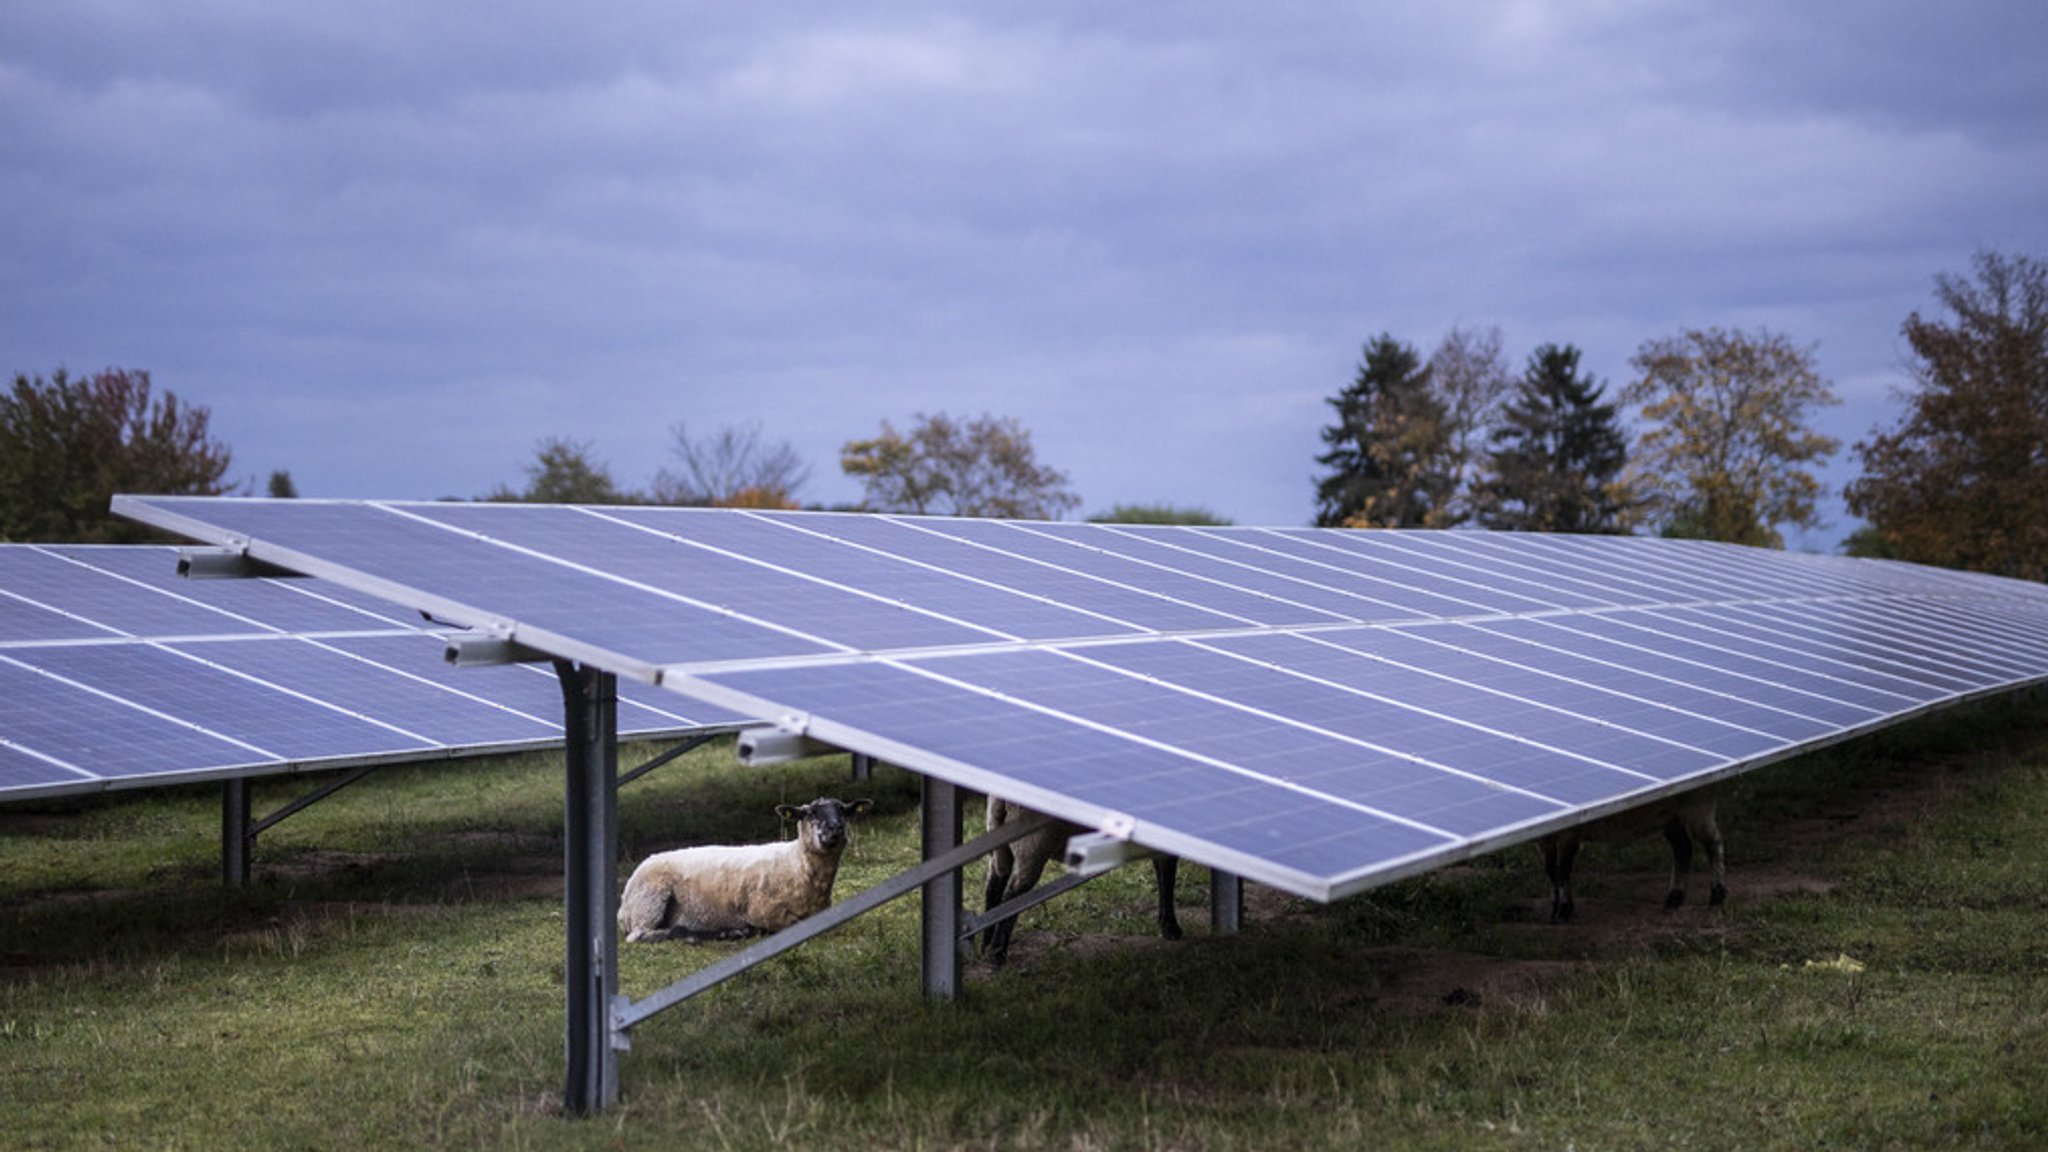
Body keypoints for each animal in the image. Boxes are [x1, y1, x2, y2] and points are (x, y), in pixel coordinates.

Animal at [614, 795, 872, 938]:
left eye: (844, 811)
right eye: (809, 814)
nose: (835, 829)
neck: (798, 865)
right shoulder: (764, 911)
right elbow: (791, 923)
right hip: (650, 901)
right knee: (641, 935)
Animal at [978, 795, 1187, 963]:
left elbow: (1163, 873)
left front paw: (1166, 925)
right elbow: (1167, 876)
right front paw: (1171, 928)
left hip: (999, 840)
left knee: (994, 886)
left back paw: (986, 945)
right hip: (1032, 845)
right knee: (1013, 895)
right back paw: (996, 954)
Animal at [1540, 783, 1720, 918]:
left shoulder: (1570, 834)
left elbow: (1562, 871)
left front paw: (1564, 910)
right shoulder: (1545, 840)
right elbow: (1550, 871)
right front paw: (1554, 910)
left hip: (1698, 803)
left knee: (1713, 843)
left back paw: (1717, 897)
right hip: (1670, 816)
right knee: (1683, 849)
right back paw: (1673, 900)